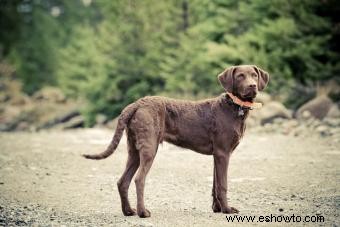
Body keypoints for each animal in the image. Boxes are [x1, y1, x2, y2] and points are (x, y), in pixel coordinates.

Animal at [82, 64, 268, 217]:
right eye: (240, 76)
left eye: (254, 75)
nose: (252, 86)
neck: (234, 107)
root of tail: (136, 104)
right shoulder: (223, 153)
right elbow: (222, 185)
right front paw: (227, 210)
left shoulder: (218, 155)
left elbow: (215, 184)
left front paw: (217, 208)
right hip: (149, 148)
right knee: (139, 179)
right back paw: (143, 212)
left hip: (133, 150)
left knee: (123, 181)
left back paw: (128, 211)